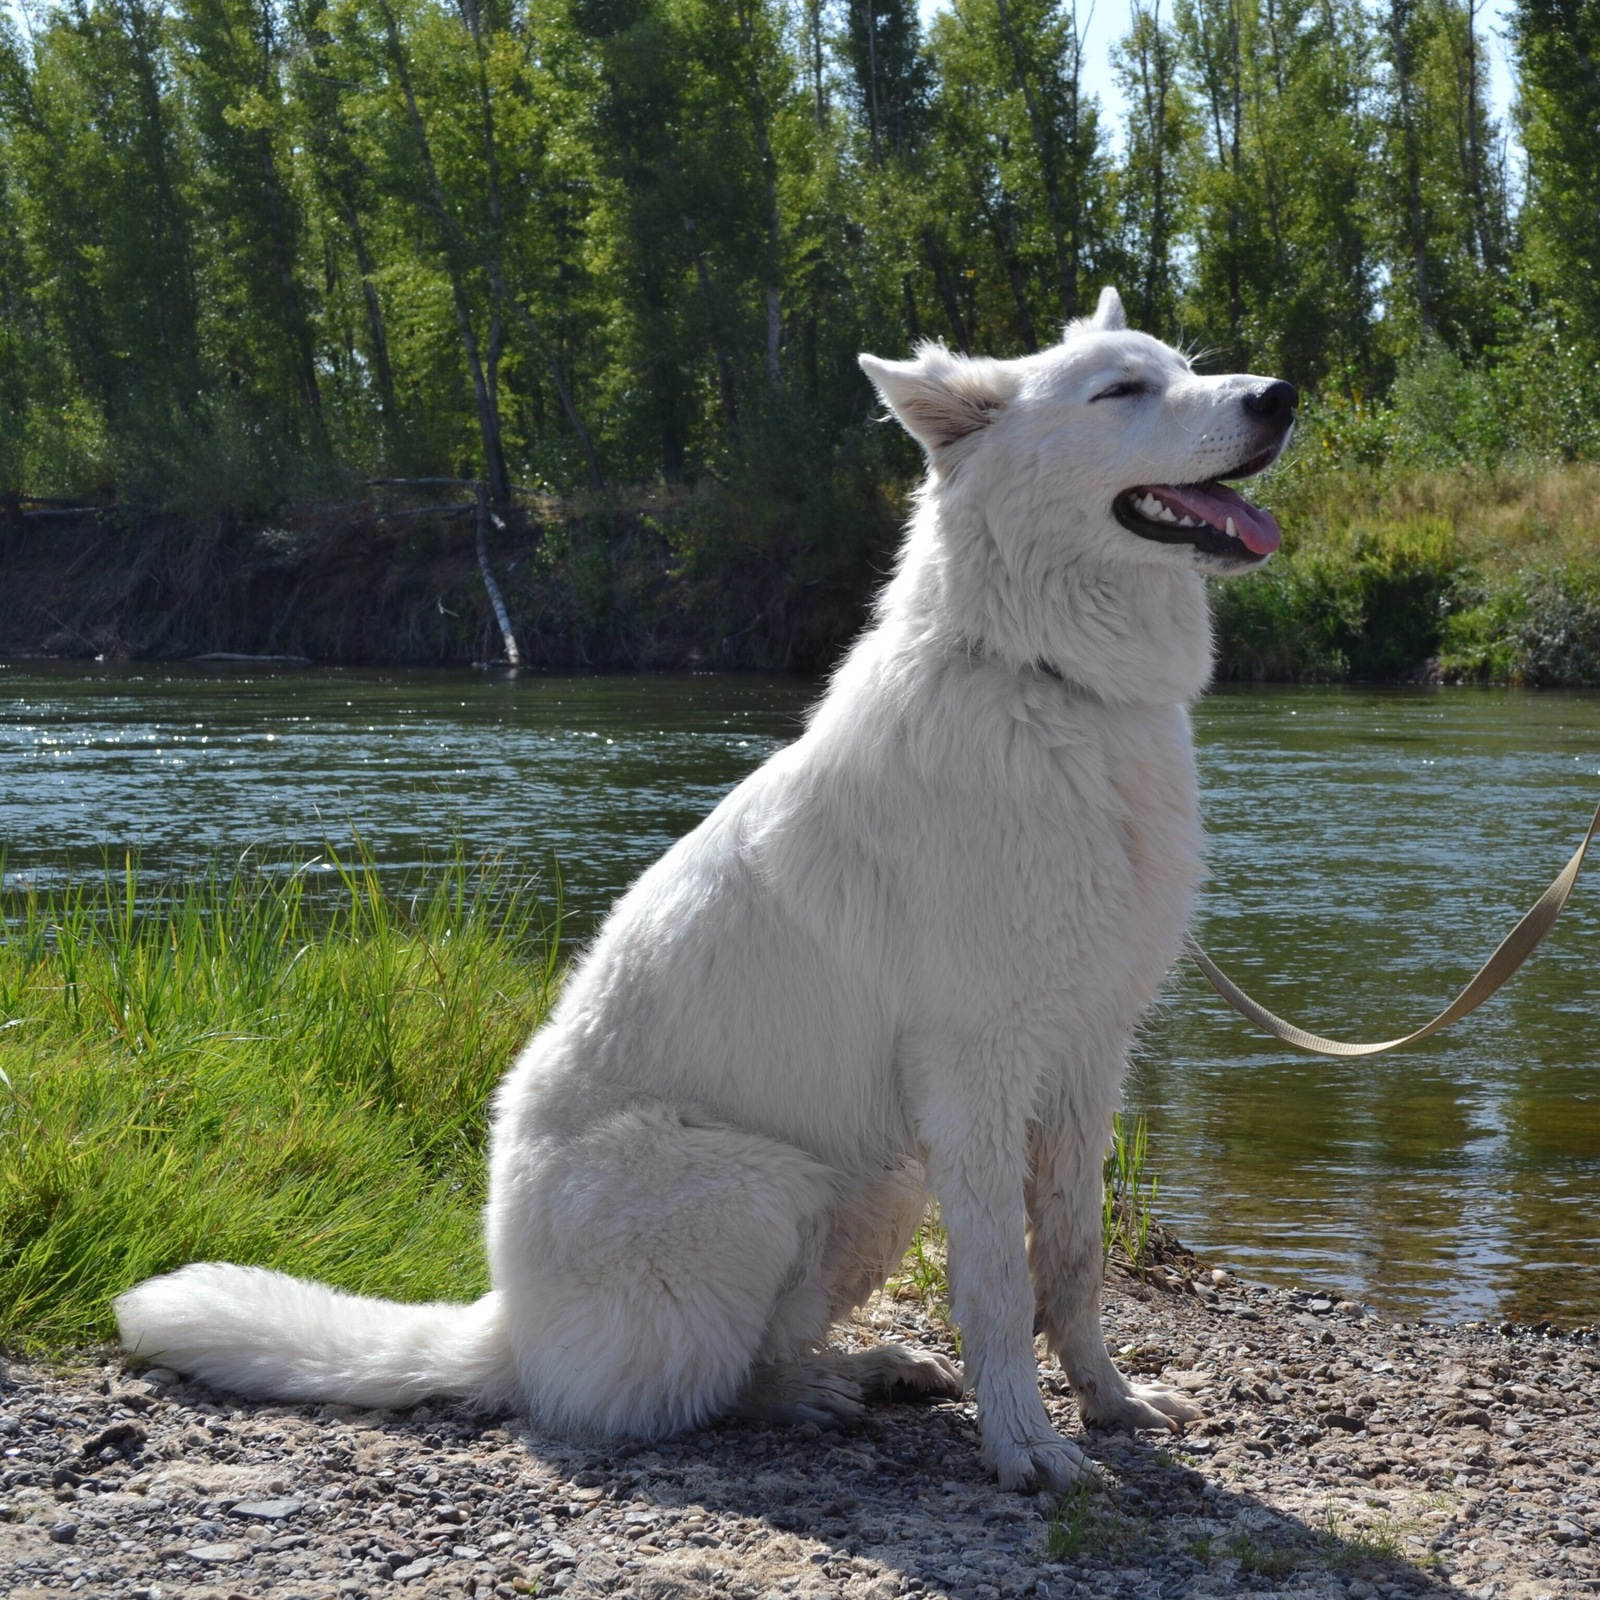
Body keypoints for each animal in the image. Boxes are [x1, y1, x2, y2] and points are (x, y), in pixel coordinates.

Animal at [112, 291, 1292, 1497]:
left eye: (1181, 367)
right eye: (1120, 392)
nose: (1280, 396)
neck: (1057, 684)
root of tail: (508, 1330)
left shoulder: (1089, 1051)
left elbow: (1070, 1257)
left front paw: (1111, 1403)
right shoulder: (977, 1070)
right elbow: (999, 1290)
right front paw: (1026, 1447)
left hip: (875, 1181)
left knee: (754, 1348)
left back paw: (869, 1368)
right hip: (766, 1185)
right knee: (699, 1388)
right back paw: (818, 1393)